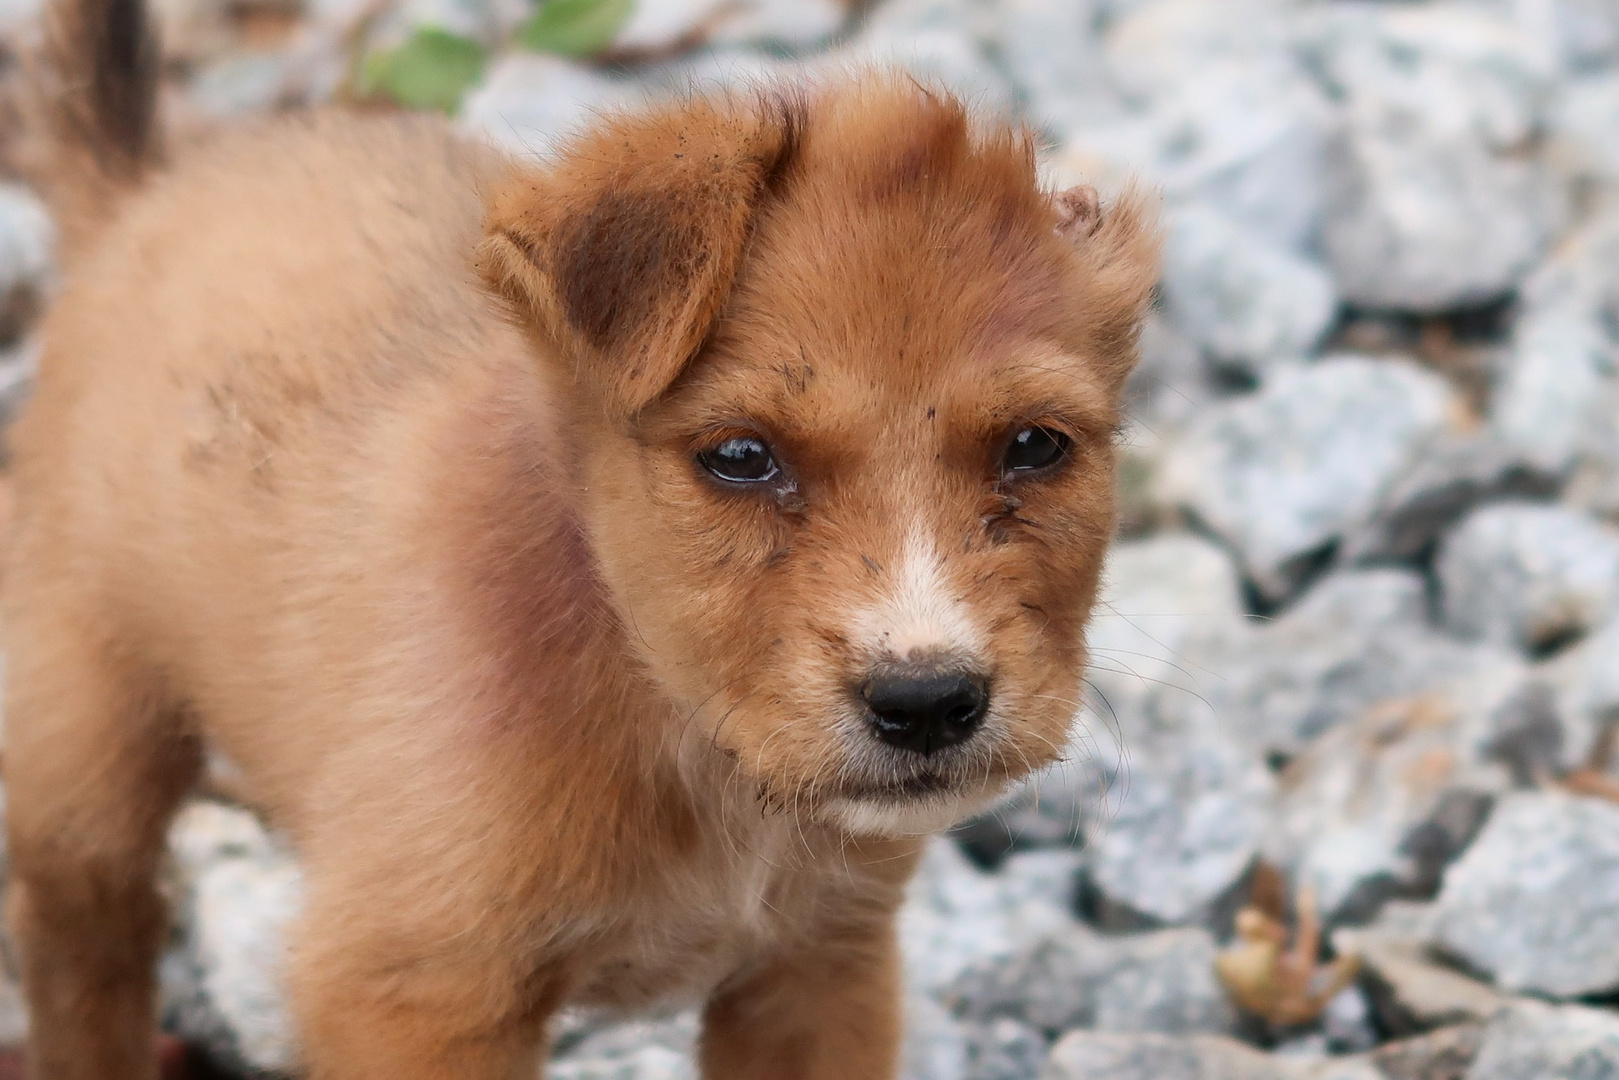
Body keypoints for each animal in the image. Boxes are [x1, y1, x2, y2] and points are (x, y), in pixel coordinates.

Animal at [3, 0, 1165, 1075]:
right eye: (740, 456)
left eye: (1034, 444)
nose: (925, 704)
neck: (664, 711)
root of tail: (141, 192)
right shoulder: (415, 987)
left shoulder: (818, 969)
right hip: (85, 758)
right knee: (88, 956)